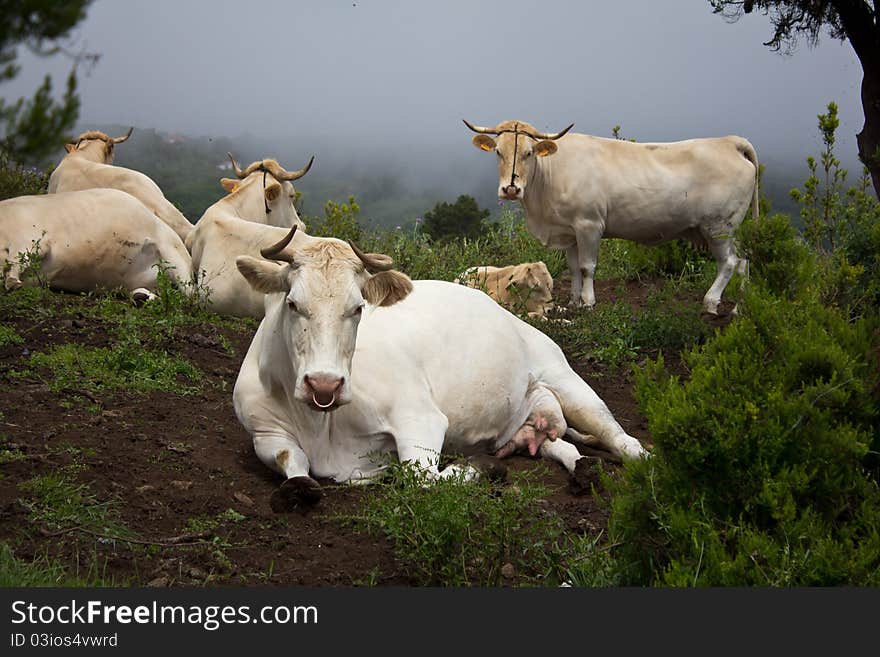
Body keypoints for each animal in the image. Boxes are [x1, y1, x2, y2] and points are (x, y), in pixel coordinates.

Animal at [234, 228, 648, 510]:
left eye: (358, 308)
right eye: (292, 303)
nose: (324, 385)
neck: (322, 425)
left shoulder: (419, 418)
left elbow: (423, 480)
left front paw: (482, 468)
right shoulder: (265, 433)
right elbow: (294, 465)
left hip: (565, 378)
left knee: (618, 436)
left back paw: (641, 461)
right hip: (528, 419)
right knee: (558, 444)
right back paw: (582, 467)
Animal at [464, 118, 760, 316]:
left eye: (528, 153)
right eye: (498, 152)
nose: (511, 188)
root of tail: (729, 142)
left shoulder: (589, 224)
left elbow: (587, 266)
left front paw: (588, 301)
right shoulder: (569, 230)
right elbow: (573, 267)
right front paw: (573, 301)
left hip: (718, 226)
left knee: (729, 263)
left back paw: (711, 302)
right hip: (732, 229)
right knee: (744, 261)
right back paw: (740, 307)